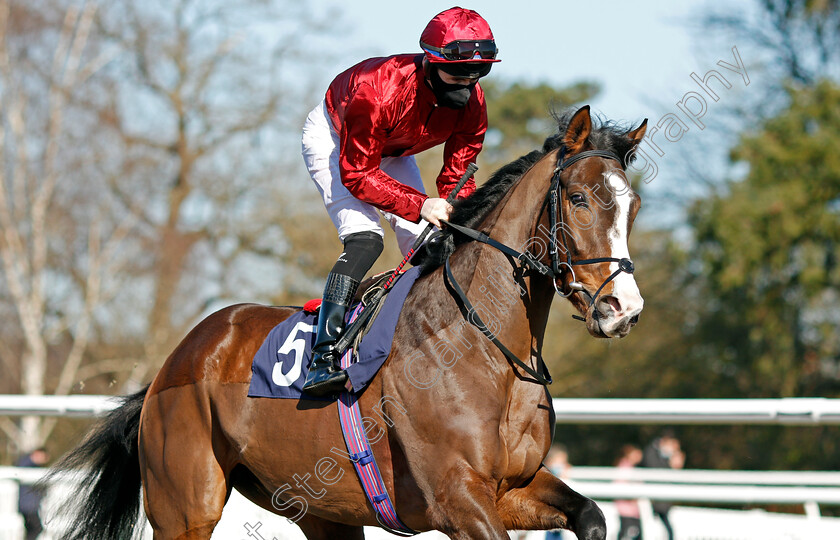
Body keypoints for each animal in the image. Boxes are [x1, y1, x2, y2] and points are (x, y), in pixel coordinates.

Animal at [55, 106, 648, 540]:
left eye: (633, 205)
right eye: (577, 198)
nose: (623, 308)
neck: (484, 347)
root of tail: (171, 365)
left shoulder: (512, 487)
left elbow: (592, 516)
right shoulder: (457, 496)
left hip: (320, 510)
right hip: (185, 507)